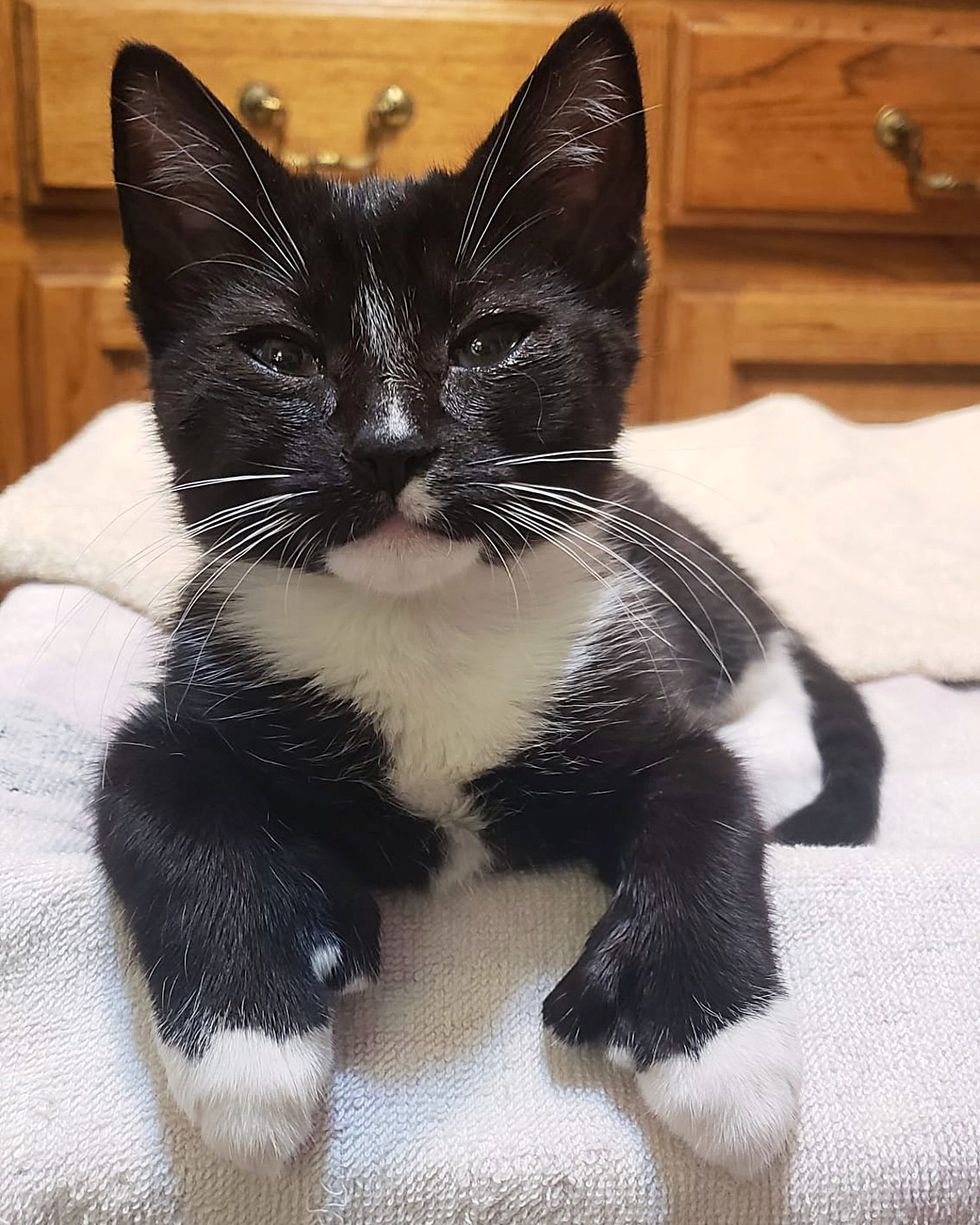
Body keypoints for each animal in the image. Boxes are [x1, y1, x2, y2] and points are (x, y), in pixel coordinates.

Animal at [95, 9, 882, 1176]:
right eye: (280, 352)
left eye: (493, 339)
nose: (390, 447)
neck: (421, 625)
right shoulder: (193, 688)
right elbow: (147, 789)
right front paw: (249, 1045)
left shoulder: (641, 683)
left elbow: (708, 798)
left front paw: (720, 1047)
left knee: (770, 680)